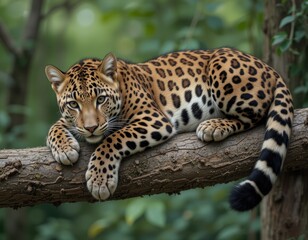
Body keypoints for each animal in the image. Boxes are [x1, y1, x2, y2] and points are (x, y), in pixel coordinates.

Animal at [45, 47, 294, 212]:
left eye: (101, 99)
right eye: (73, 104)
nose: (91, 127)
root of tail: (269, 67)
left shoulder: (153, 119)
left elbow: (113, 138)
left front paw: (100, 180)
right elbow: (54, 126)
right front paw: (64, 148)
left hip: (221, 68)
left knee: (256, 116)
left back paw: (213, 126)